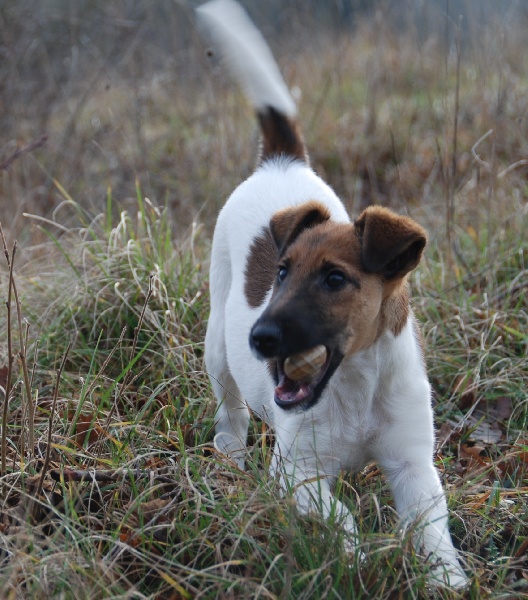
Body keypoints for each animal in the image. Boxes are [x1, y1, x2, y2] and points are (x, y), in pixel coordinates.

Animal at [197, 0, 466, 584]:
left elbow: (434, 538)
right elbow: (339, 515)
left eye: (335, 279)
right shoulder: (296, 470)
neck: (355, 384)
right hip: (216, 348)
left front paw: (448, 582)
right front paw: (359, 560)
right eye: (280, 273)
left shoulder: (415, 467)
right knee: (230, 413)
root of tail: (283, 161)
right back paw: (229, 461)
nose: (260, 338)